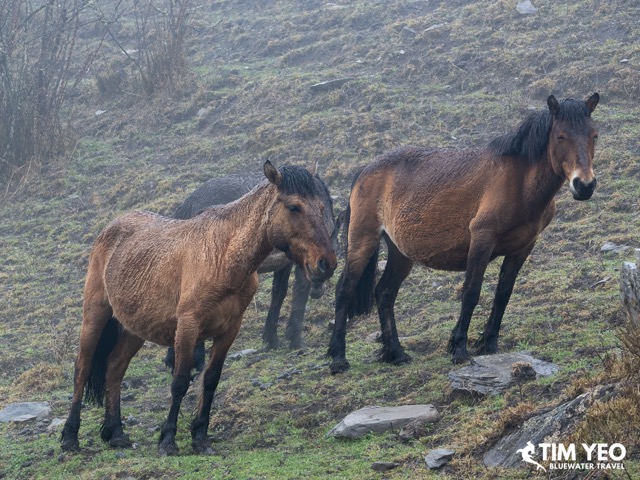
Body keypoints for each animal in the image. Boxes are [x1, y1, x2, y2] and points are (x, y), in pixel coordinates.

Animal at [163, 170, 339, 373]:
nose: (320, 289)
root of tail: (187, 204)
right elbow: (299, 294)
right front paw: (295, 339)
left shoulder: (284, 263)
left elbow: (279, 293)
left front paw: (271, 339)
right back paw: (195, 360)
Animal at [328, 93, 600, 374]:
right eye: (561, 136)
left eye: (594, 135)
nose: (584, 185)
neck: (519, 181)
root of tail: (365, 170)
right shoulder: (482, 240)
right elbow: (471, 292)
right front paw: (459, 348)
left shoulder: (522, 247)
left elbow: (503, 294)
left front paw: (488, 344)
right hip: (363, 240)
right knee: (344, 289)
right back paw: (338, 357)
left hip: (400, 253)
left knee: (384, 293)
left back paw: (396, 353)